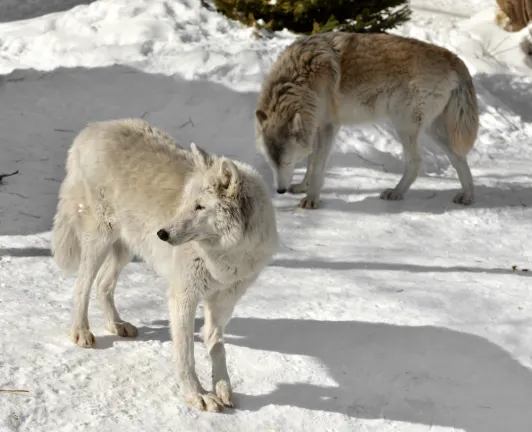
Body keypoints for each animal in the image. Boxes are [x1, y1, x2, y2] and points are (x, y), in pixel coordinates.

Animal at [52, 118, 280, 412]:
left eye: (199, 207)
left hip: (127, 248)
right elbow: (186, 354)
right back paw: (81, 333)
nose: (162, 233)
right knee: (82, 285)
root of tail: (92, 129)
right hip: (99, 240)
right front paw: (197, 395)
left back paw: (117, 325)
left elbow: (216, 345)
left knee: (103, 284)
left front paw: (223, 389)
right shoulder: (182, 296)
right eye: (186, 203)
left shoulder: (224, 302)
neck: (228, 254)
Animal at [256, 32, 480, 209]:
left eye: (287, 162)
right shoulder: (314, 127)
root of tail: (453, 58)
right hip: (432, 130)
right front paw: (304, 187)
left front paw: (312, 199)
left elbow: (318, 165)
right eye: (271, 163)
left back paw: (396, 192)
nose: (280, 191)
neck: (299, 82)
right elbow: (311, 161)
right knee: (459, 158)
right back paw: (467, 196)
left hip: (404, 125)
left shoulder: (329, 127)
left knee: (416, 162)